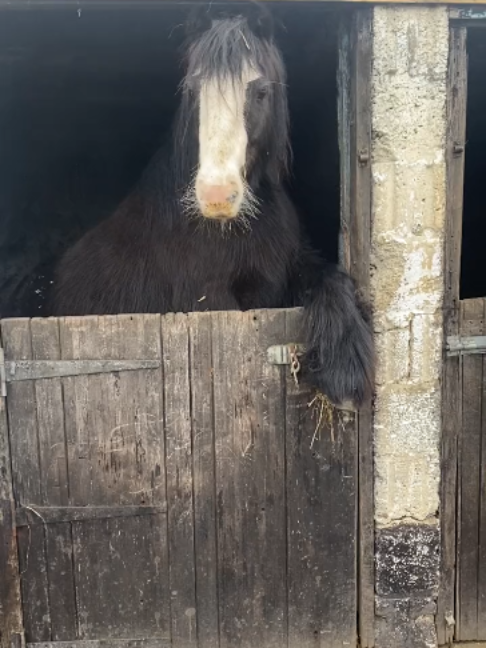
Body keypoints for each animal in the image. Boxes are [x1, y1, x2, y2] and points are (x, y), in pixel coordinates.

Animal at [50, 2, 374, 406]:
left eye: (261, 92)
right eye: (192, 89)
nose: (216, 196)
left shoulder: (287, 269)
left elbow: (330, 278)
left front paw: (345, 369)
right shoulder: (210, 300)